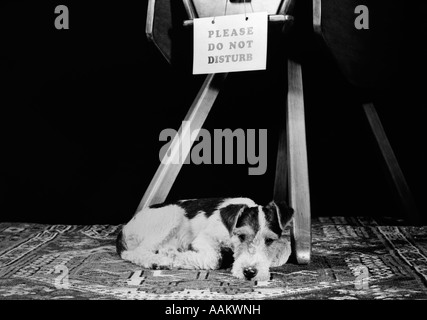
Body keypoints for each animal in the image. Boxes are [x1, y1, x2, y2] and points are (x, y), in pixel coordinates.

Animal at [118, 198, 296, 280]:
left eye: (269, 240)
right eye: (241, 236)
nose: (249, 272)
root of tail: (125, 227)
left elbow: (286, 249)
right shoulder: (203, 238)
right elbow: (213, 258)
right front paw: (178, 258)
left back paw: (168, 251)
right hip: (172, 214)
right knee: (135, 252)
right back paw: (159, 260)